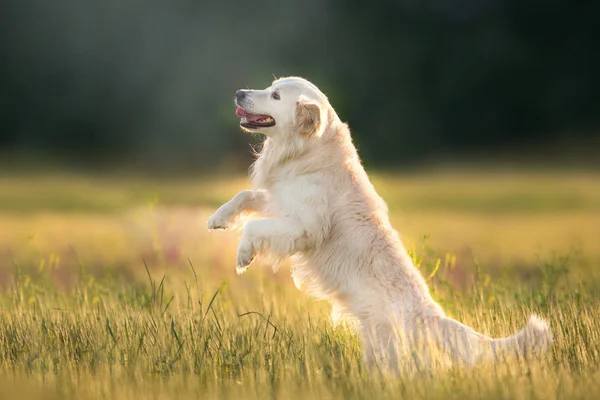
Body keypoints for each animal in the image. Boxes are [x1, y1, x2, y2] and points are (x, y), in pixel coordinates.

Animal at [206, 76, 552, 374]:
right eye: (270, 87)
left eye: (276, 96)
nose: (239, 92)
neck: (307, 153)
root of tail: (432, 316)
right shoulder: (278, 200)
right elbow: (245, 195)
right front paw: (218, 218)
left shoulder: (304, 227)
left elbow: (254, 228)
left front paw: (243, 255)